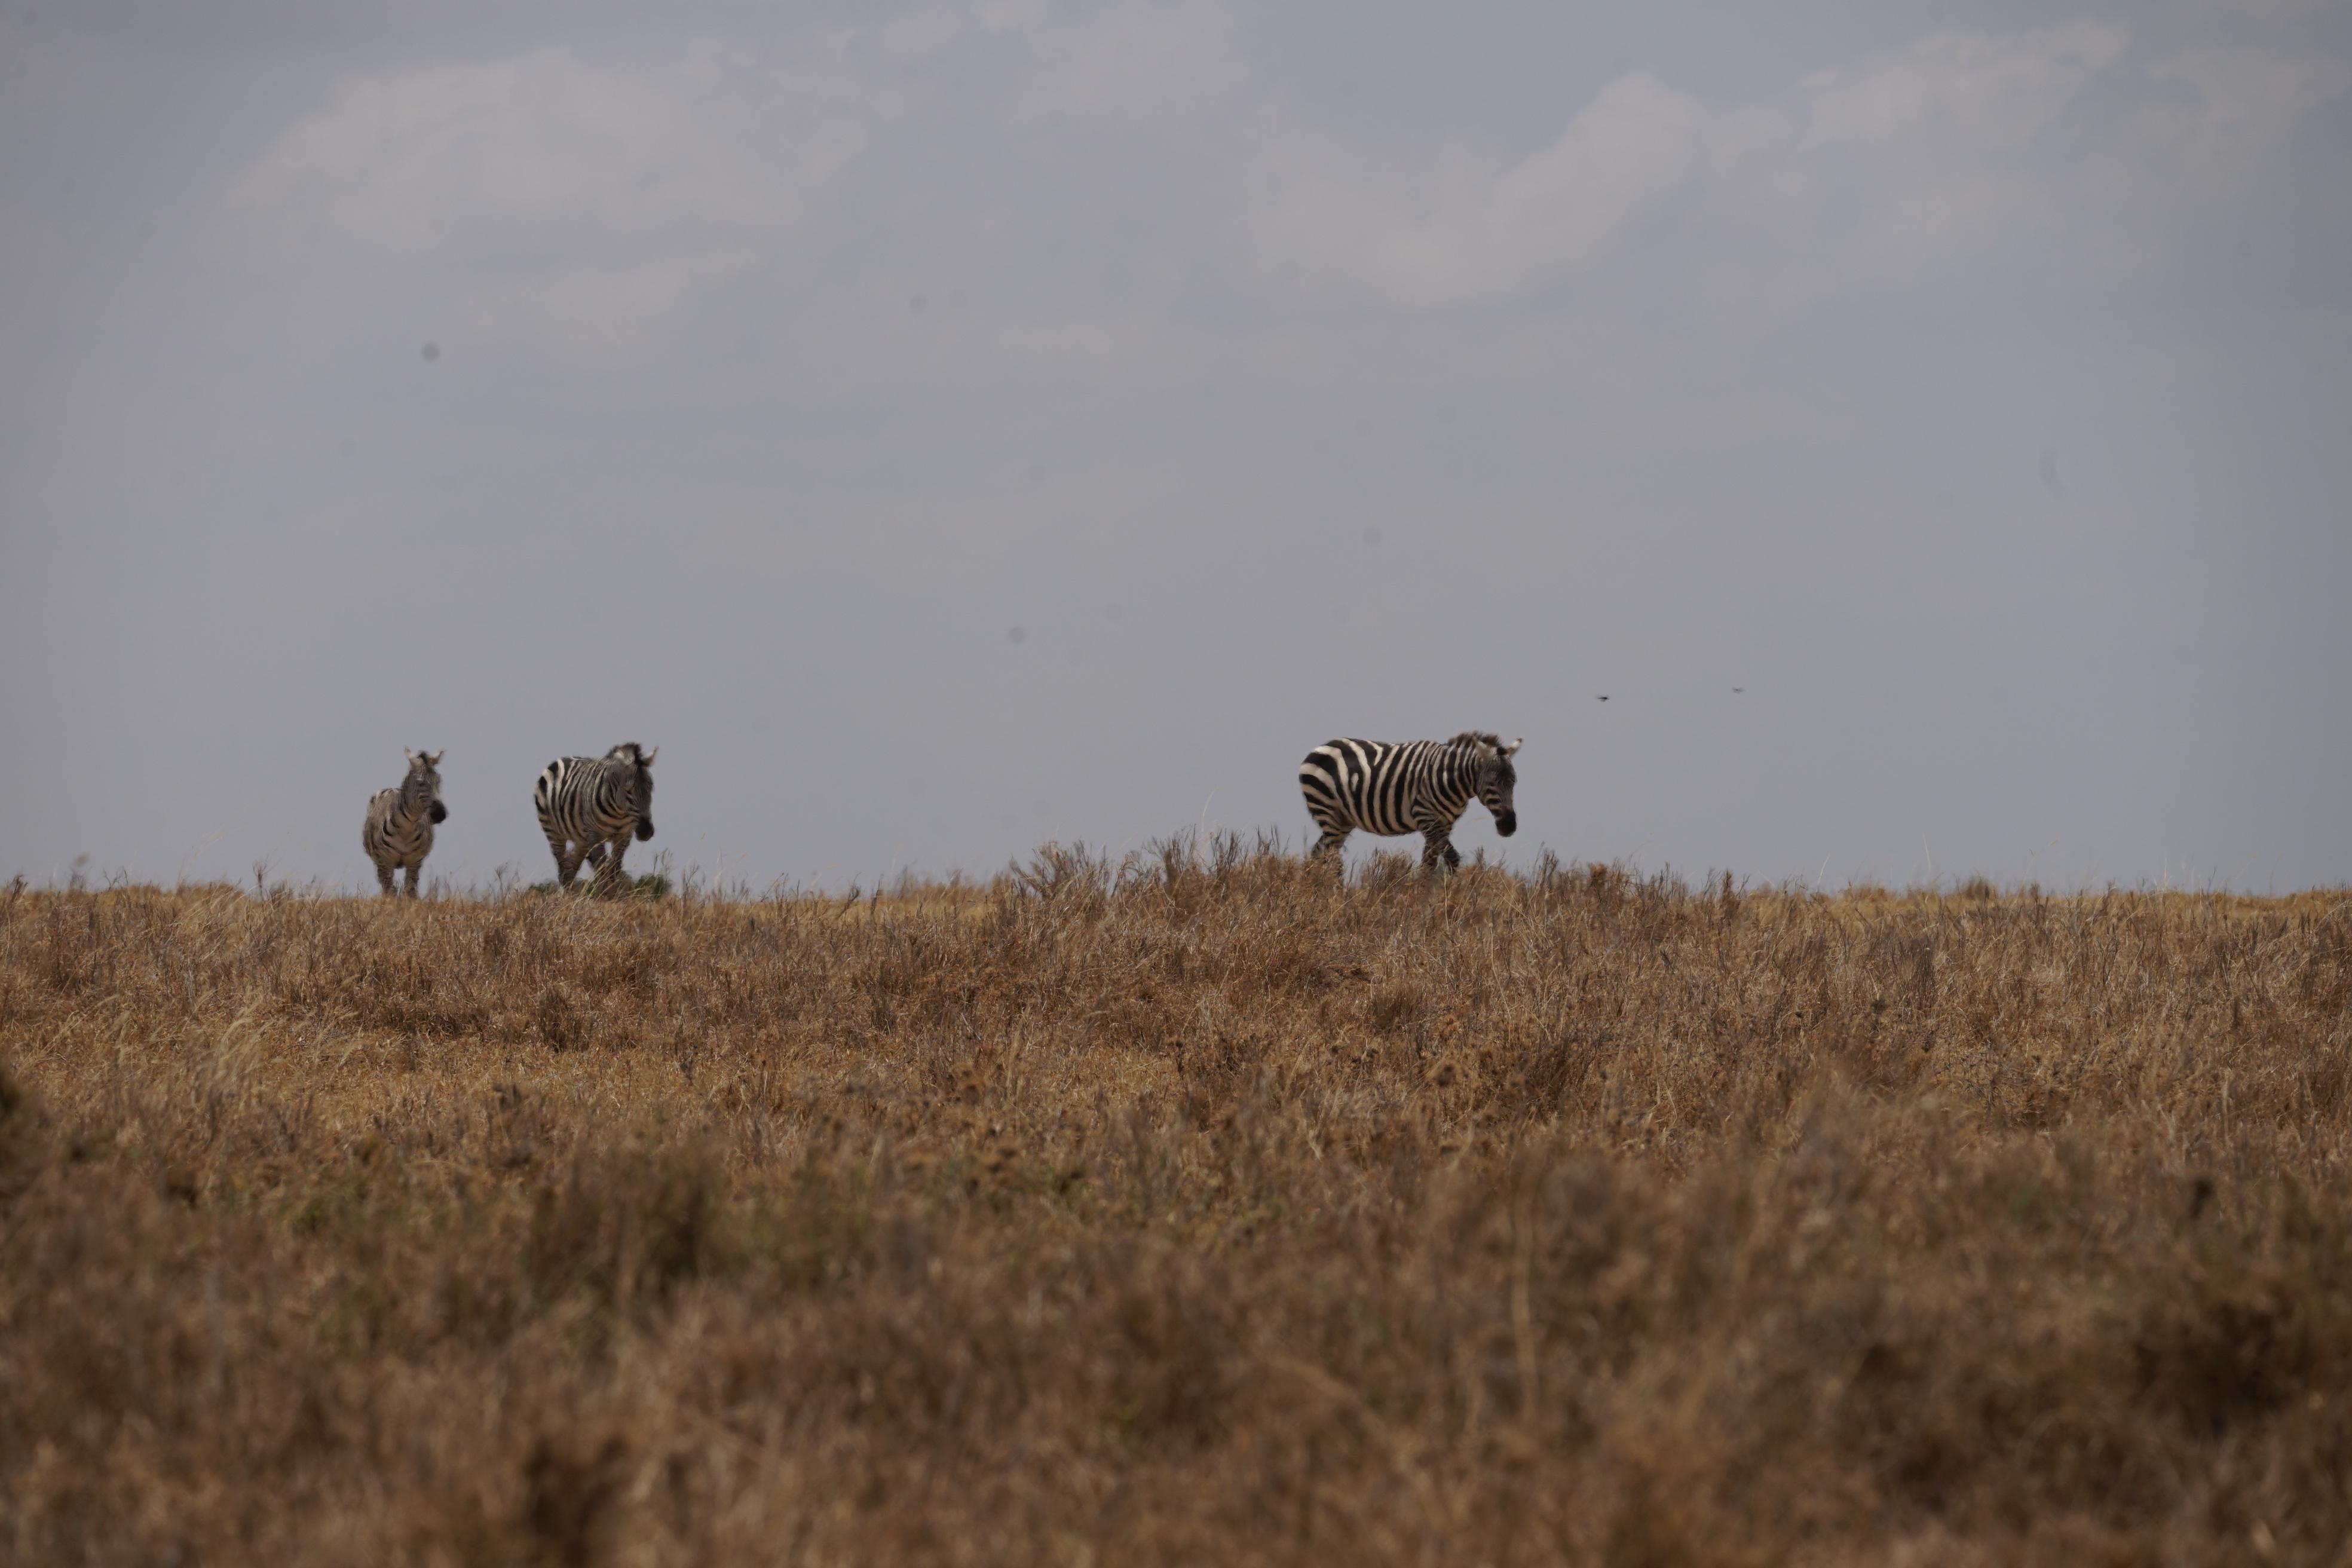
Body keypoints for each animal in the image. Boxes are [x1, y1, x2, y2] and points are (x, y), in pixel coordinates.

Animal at [363, 749, 447, 897]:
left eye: (439, 781)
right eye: (421, 783)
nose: (440, 814)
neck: (406, 830)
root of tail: (393, 789)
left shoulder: (415, 862)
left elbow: (410, 891)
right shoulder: (385, 862)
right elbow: (390, 893)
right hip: (379, 862)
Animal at [534, 743, 657, 892]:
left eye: (651, 788)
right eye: (628, 790)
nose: (646, 832)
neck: (619, 812)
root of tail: (561, 760)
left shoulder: (624, 836)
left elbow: (614, 870)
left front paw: (614, 894)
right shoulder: (596, 835)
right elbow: (603, 870)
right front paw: (606, 895)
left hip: (582, 840)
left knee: (571, 868)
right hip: (553, 832)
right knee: (564, 869)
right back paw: (570, 896)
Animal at [1299, 732, 1521, 872]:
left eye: (1514, 782)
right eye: (1492, 783)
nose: (1509, 827)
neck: (1450, 779)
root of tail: (1320, 747)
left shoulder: (1444, 824)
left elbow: (1430, 864)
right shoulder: (1427, 818)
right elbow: (1452, 859)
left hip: (1343, 820)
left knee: (1318, 853)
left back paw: (1317, 892)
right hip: (1327, 810)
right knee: (1331, 859)